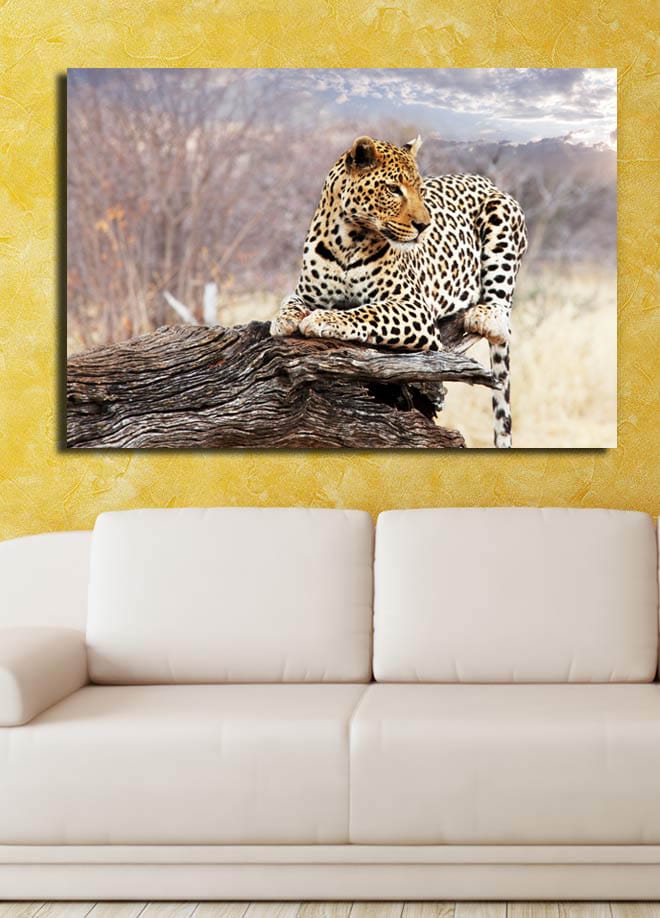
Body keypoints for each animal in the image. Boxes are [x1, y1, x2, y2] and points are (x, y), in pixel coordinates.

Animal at [270, 135, 528, 447]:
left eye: (420, 190)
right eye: (393, 189)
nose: (424, 226)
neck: (347, 239)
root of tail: (484, 180)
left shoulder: (414, 307)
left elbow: (368, 311)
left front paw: (324, 319)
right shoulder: (306, 293)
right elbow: (291, 302)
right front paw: (283, 320)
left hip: (501, 214)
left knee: (502, 316)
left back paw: (485, 315)